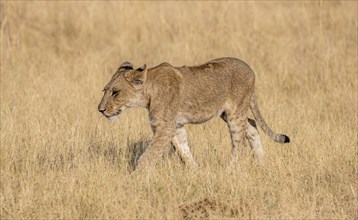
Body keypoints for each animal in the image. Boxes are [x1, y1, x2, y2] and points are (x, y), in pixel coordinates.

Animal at [98, 57, 290, 170]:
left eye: (115, 93)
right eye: (105, 90)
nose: (100, 109)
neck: (148, 92)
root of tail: (250, 68)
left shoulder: (165, 127)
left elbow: (148, 156)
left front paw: (136, 179)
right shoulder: (176, 126)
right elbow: (184, 152)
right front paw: (196, 173)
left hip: (235, 113)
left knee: (239, 144)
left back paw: (229, 171)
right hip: (230, 113)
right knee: (252, 125)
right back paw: (263, 164)